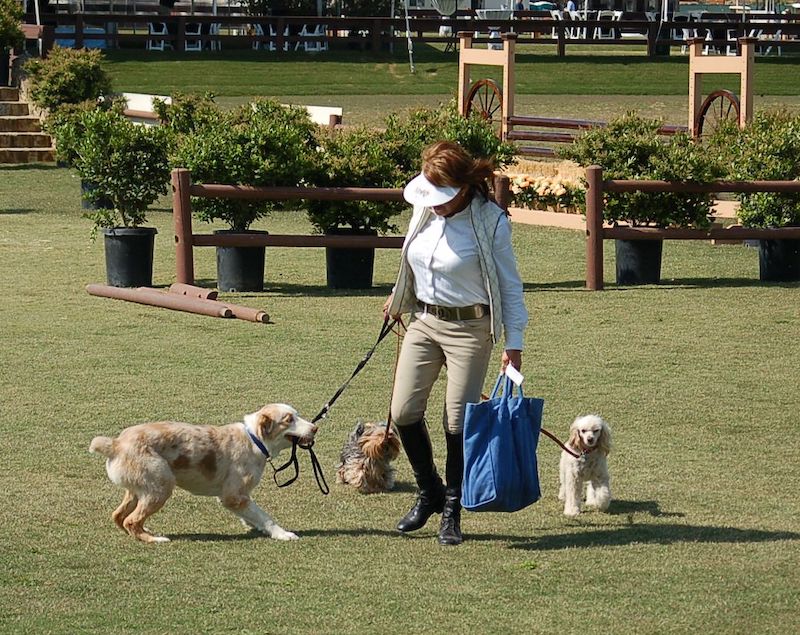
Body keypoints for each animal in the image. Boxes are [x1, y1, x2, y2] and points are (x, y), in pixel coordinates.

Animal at [90, 404, 316, 544]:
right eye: (289, 419)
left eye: (297, 415)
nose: (315, 428)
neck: (254, 439)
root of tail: (116, 444)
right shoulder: (233, 495)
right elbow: (264, 515)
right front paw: (282, 534)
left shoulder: (236, 496)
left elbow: (252, 513)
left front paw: (252, 524)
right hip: (160, 486)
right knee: (131, 520)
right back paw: (155, 539)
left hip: (138, 490)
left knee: (119, 516)